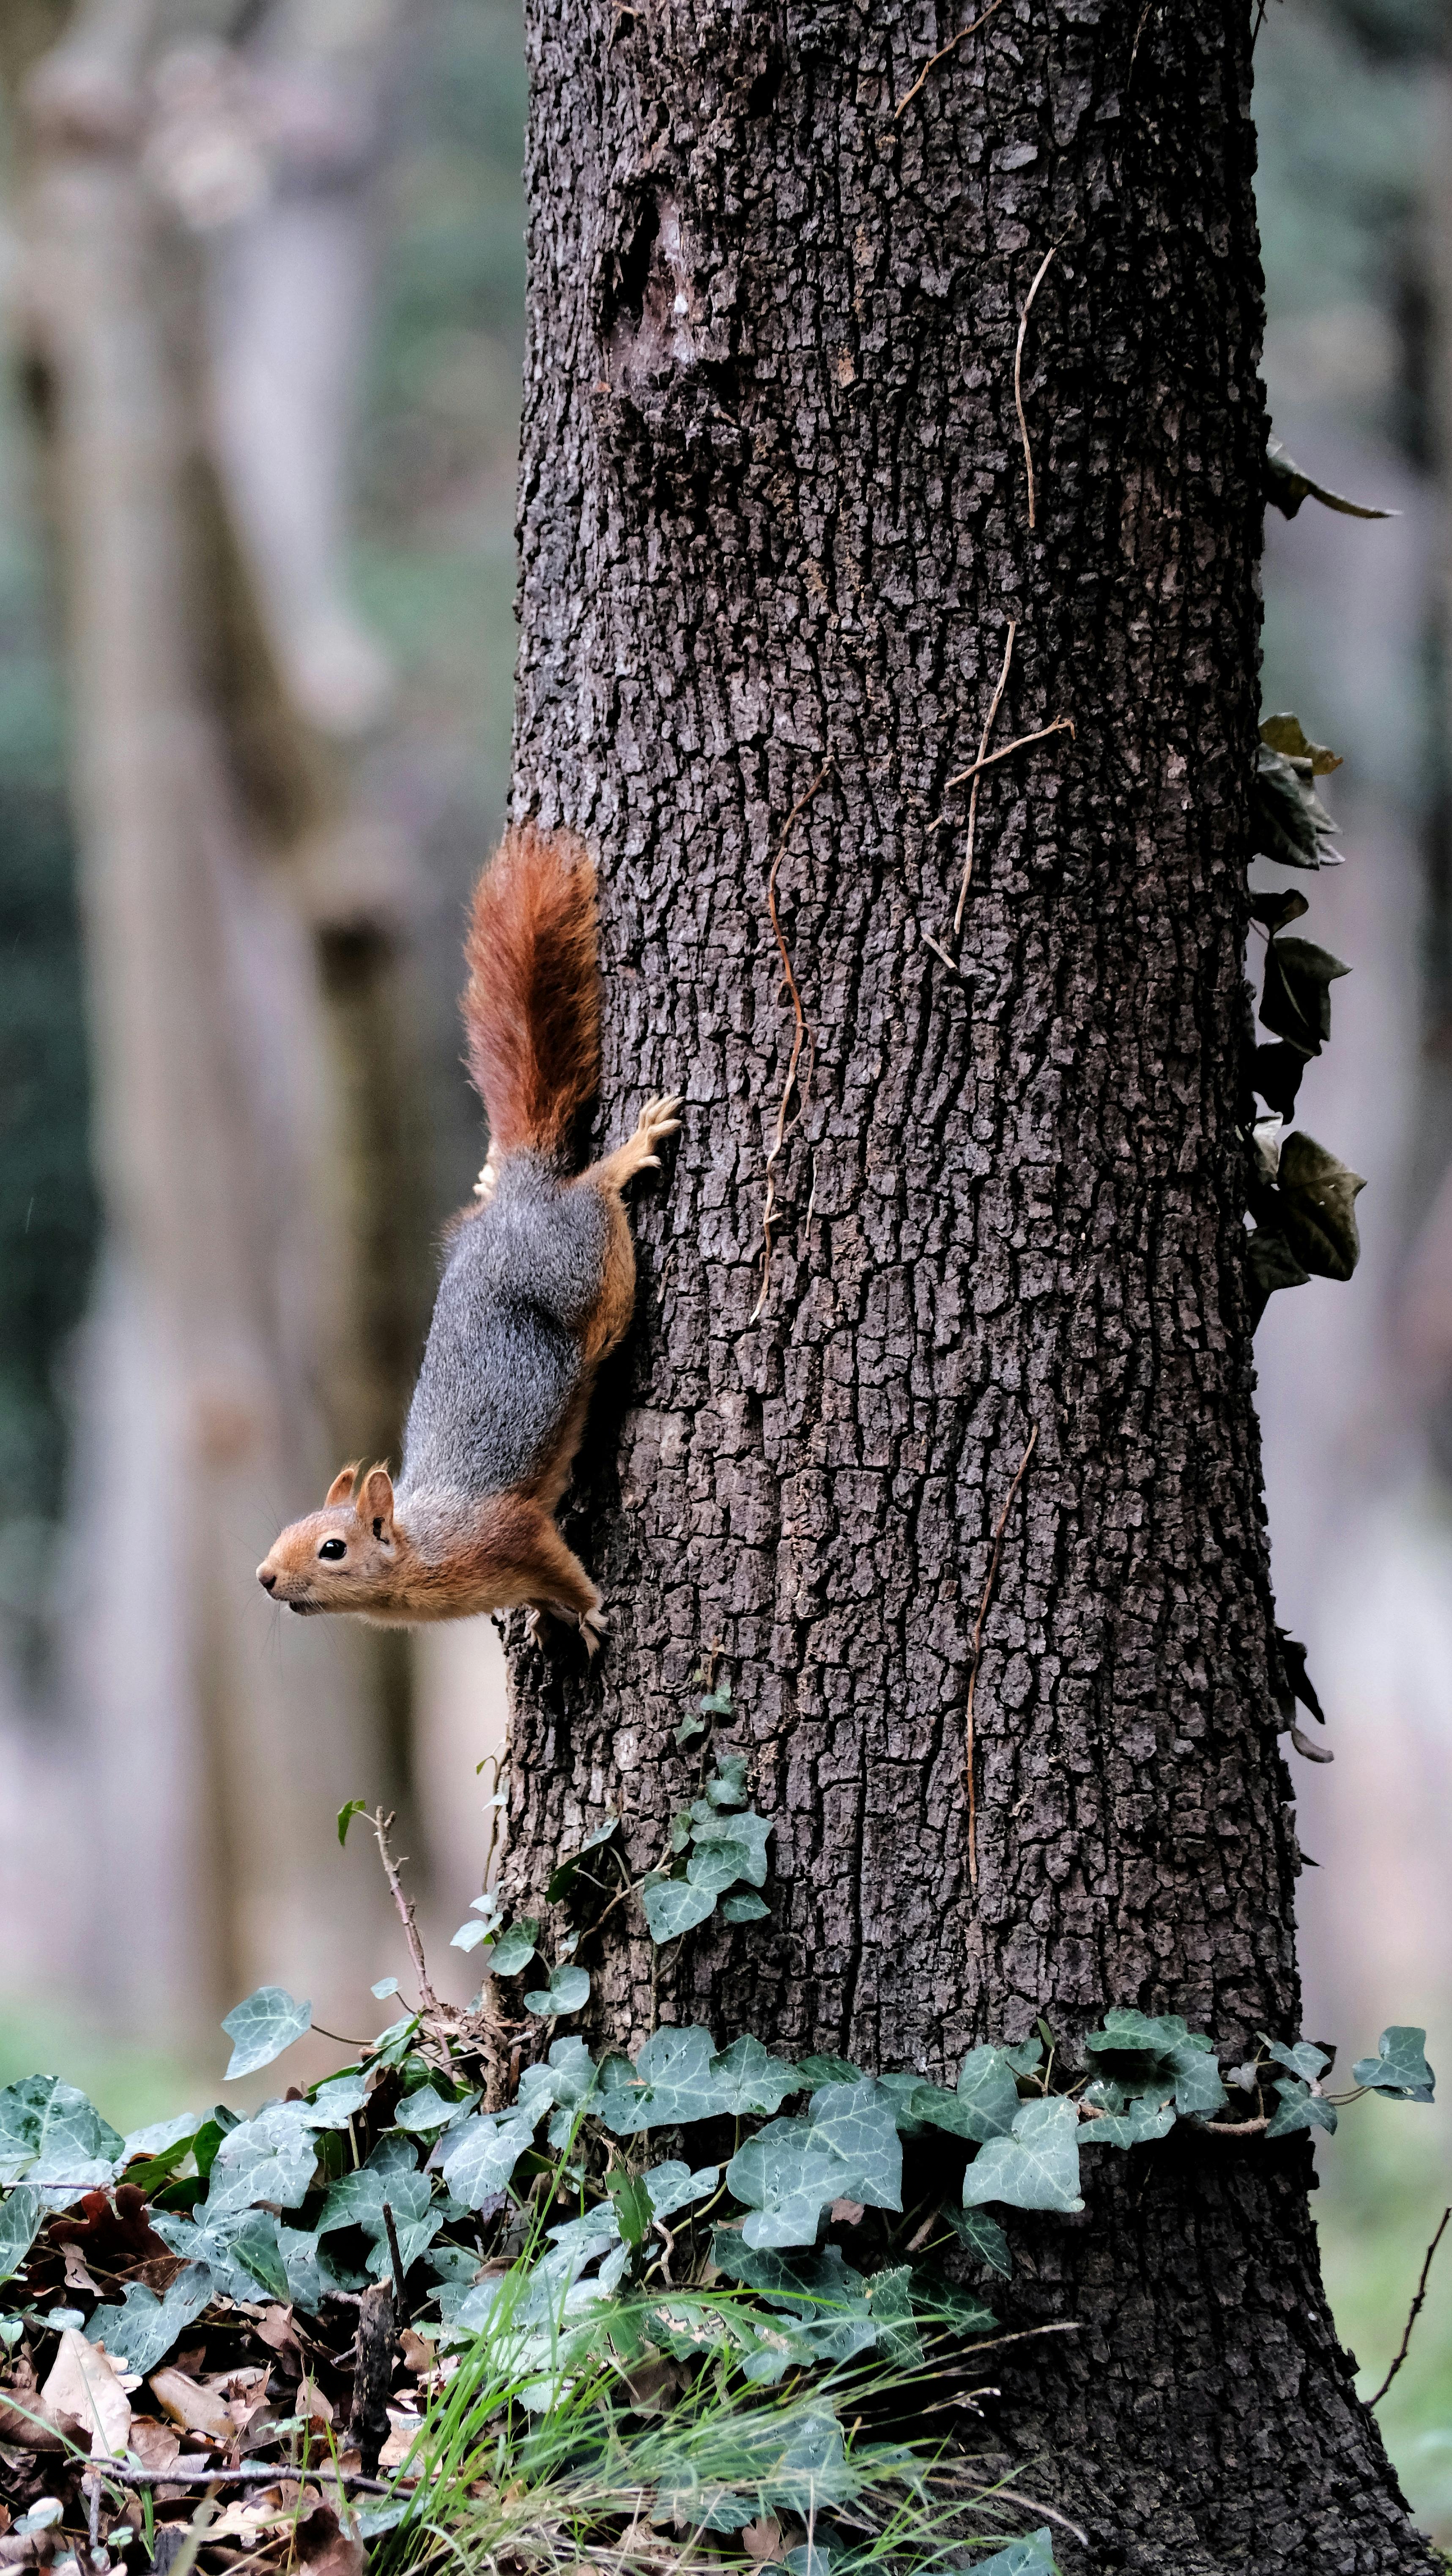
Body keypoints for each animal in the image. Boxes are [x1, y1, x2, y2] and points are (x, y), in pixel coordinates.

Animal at [256, 824, 679, 1645]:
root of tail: (521, 1192)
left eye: (332, 1548)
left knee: (591, 1202)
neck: (421, 1552)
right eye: (285, 1531)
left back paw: (622, 1157)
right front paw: (550, 1621)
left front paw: (589, 1612)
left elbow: (560, 1563)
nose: (262, 1577)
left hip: (587, 1270)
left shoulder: (508, 1535)